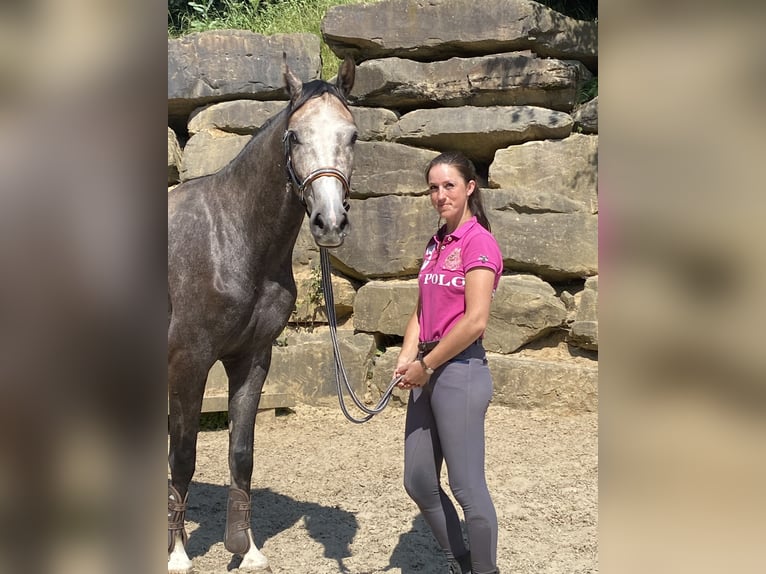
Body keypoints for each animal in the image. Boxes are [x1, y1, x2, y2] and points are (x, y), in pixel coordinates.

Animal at [167, 56, 356, 572]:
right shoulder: (189, 362)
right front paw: (178, 555)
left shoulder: (252, 358)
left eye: (352, 135)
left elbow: (242, 453)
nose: (329, 223)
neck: (230, 238)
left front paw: (246, 549)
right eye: (294, 136)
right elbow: (184, 455)